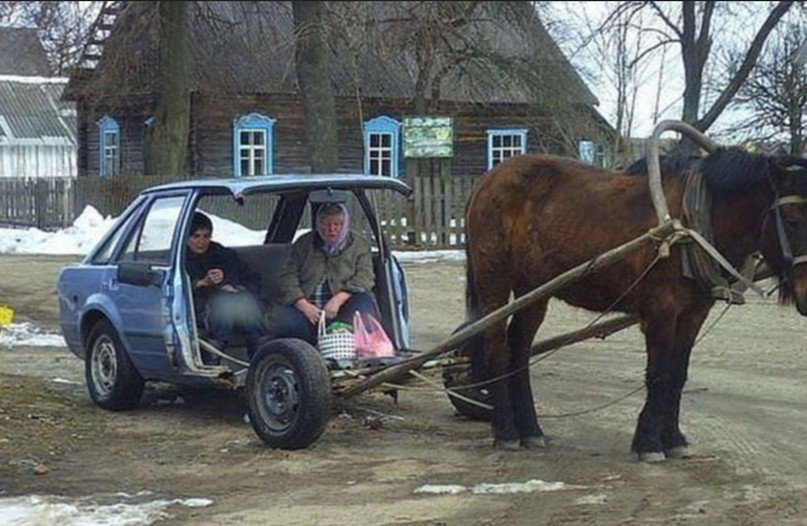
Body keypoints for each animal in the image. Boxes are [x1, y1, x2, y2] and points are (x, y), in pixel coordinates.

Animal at [464, 146, 807, 460]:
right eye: (791, 220)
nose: (805, 293)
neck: (690, 224)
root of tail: (487, 179)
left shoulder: (693, 313)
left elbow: (678, 374)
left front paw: (673, 438)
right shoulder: (661, 311)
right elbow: (659, 373)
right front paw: (649, 442)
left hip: (534, 289)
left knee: (519, 350)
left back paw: (530, 429)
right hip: (494, 279)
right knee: (497, 348)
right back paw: (506, 431)